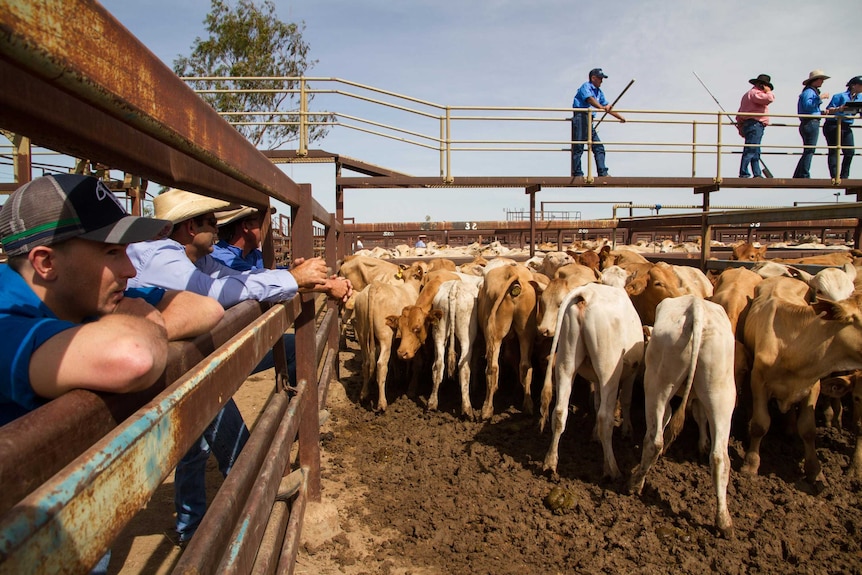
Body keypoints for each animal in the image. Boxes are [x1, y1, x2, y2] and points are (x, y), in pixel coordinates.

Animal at [428, 280, 482, 418]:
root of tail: (454, 288)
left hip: (439, 331)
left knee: (438, 364)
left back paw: (432, 403)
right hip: (467, 335)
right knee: (464, 367)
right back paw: (467, 409)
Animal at [480, 264, 540, 418]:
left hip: (494, 333)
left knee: (492, 368)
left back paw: (487, 409)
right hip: (526, 330)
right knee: (525, 365)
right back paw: (528, 406)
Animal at [544, 284, 644, 482]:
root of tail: (586, 294)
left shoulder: (596, 379)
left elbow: (597, 403)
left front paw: (595, 435)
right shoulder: (632, 372)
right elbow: (626, 400)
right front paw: (627, 431)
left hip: (566, 359)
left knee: (559, 411)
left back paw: (550, 463)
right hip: (608, 369)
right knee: (605, 417)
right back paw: (612, 469)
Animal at [628, 296, 736, 540]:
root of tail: (697, 307)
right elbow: (699, 415)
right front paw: (702, 442)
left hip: (658, 385)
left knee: (655, 440)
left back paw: (635, 483)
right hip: (721, 392)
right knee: (720, 457)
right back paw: (724, 521)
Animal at [740, 278, 862, 486]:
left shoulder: (813, 386)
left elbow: (808, 429)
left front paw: (815, 471)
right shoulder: (758, 381)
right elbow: (759, 424)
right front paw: (750, 466)